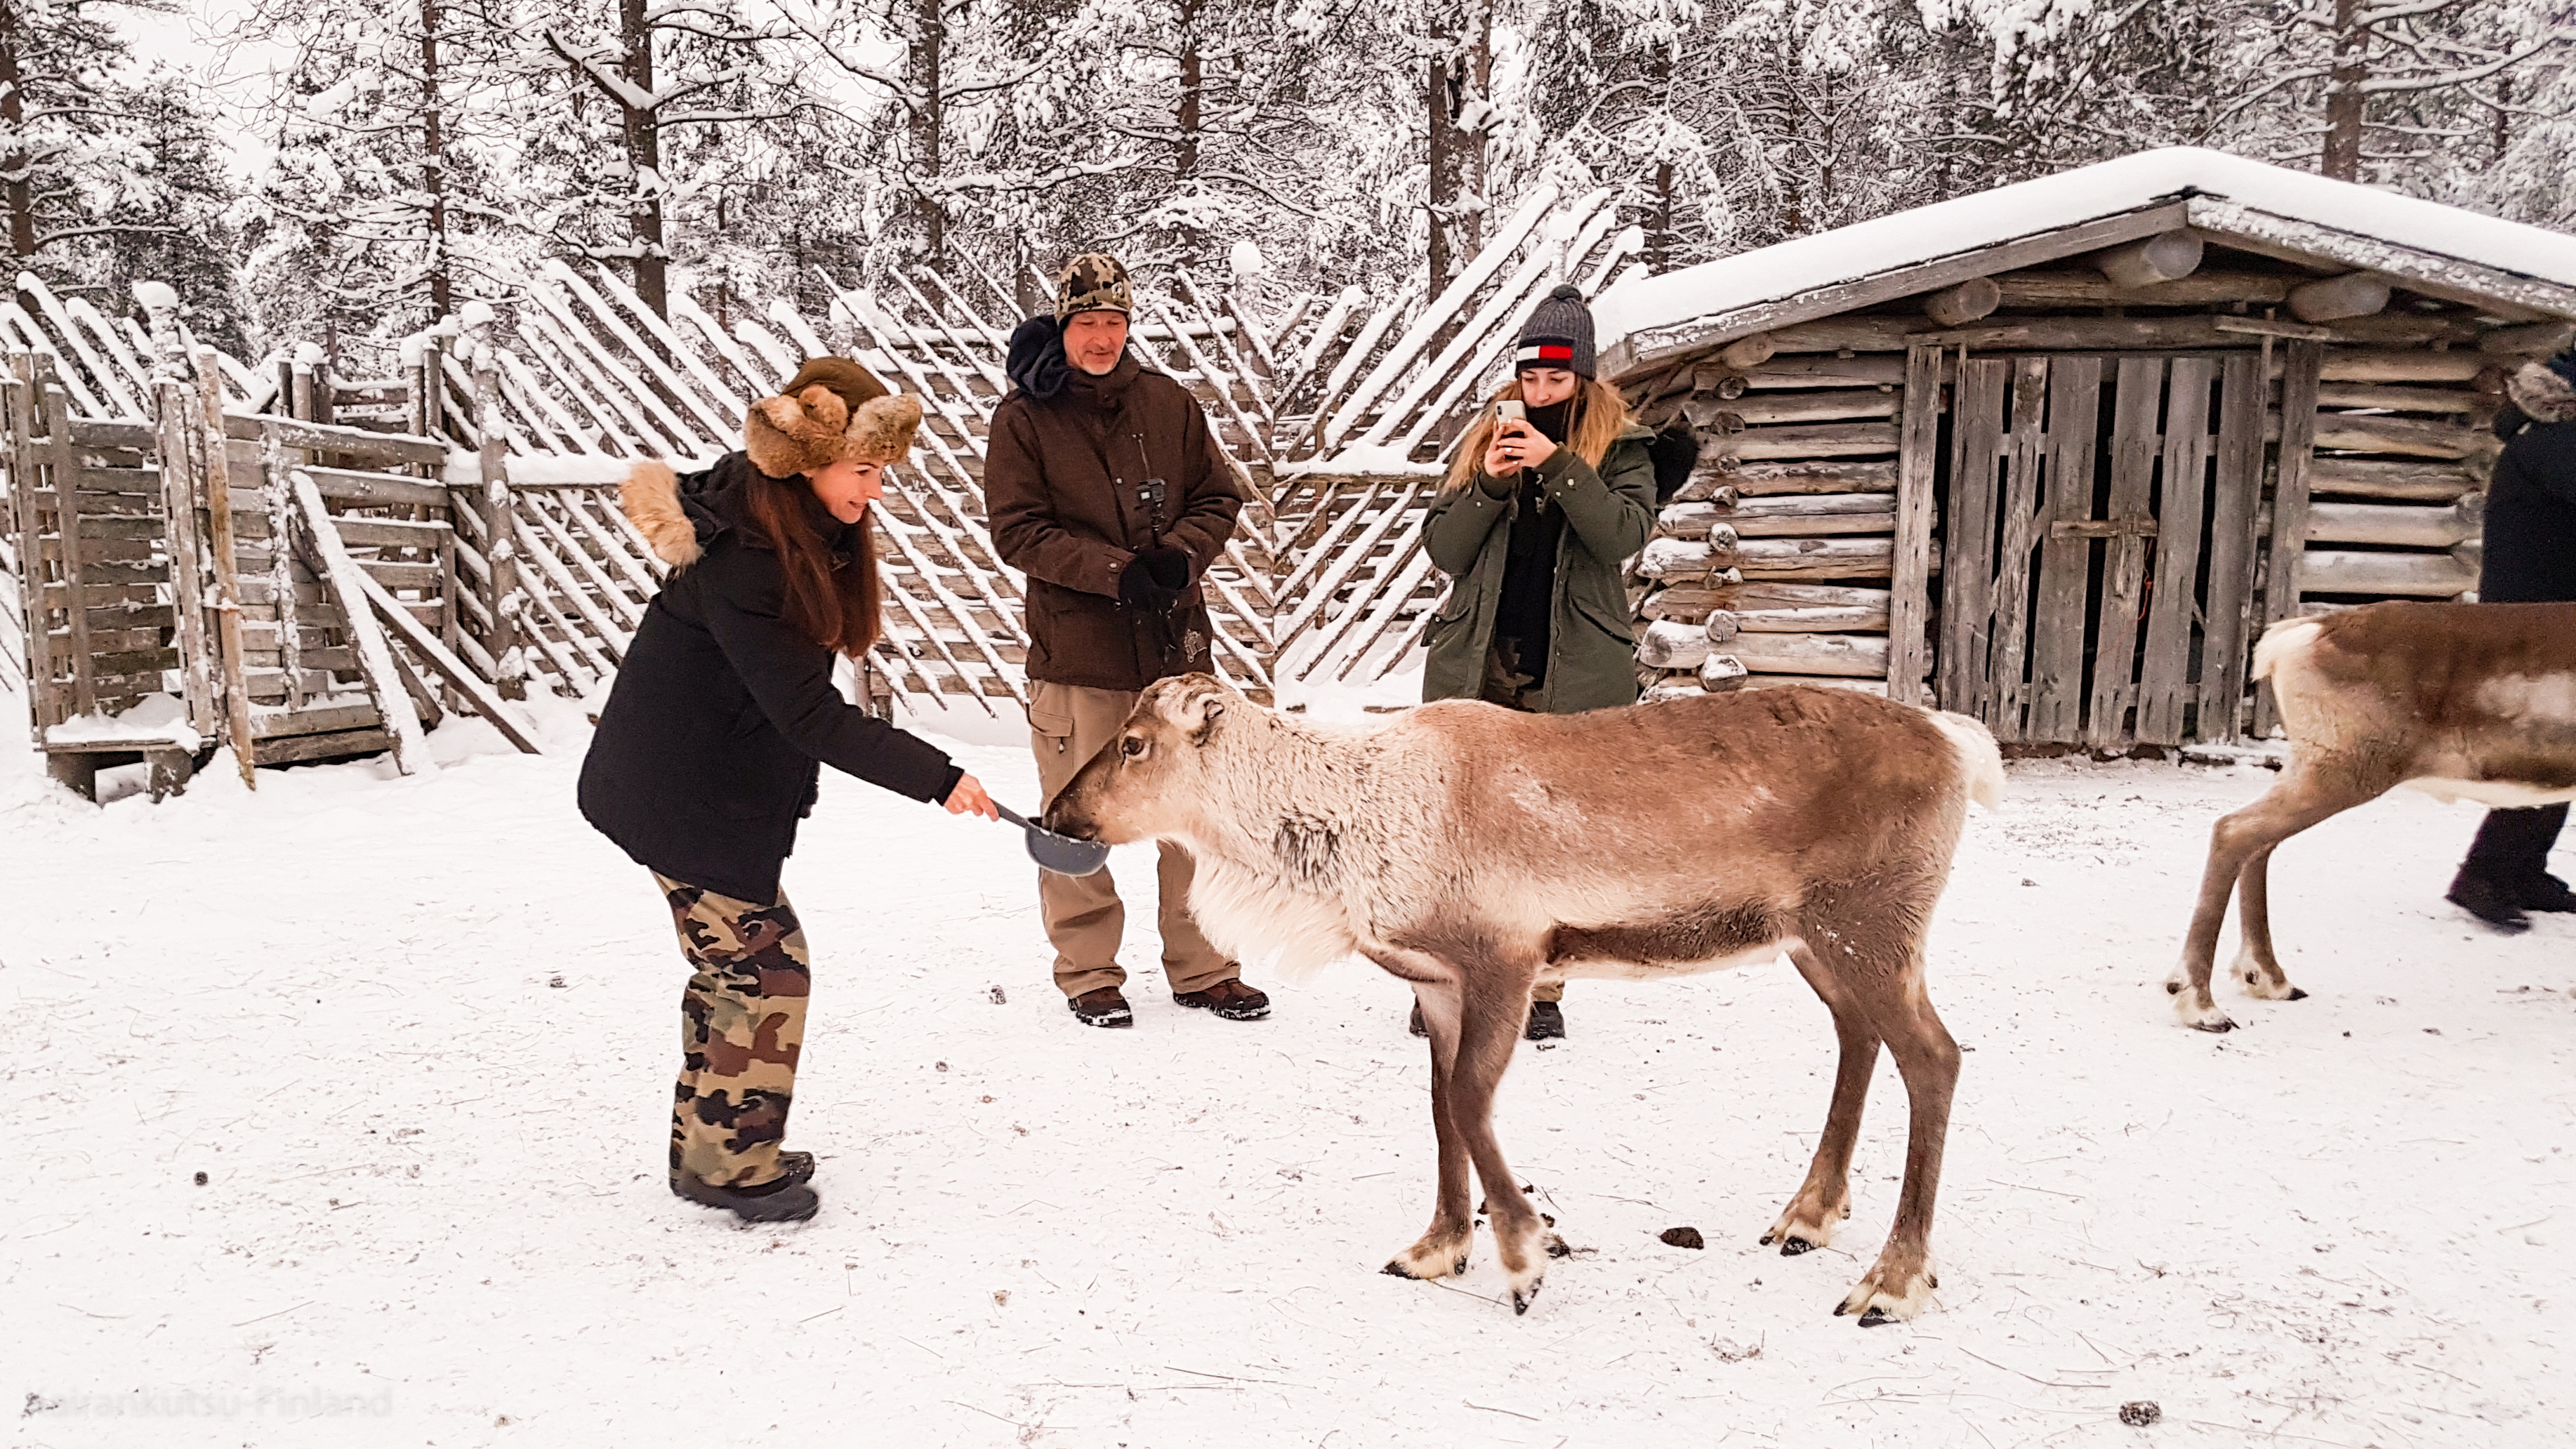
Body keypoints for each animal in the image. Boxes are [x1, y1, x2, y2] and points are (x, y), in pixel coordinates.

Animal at [1041, 674, 2004, 1324]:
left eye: (1134, 742)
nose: (1057, 815)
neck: (1348, 833)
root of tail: (1962, 744)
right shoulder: (1436, 983)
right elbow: (1440, 1109)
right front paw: (1437, 1248)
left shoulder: (1507, 956)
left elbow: (1470, 1102)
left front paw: (1525, 1254)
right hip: (1818, 938)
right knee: (1859, 1037)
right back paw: (1807, 1216)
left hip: (1869, 923)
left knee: (1937, 1057)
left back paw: (1891, 1281)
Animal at [2173, 600, 2576, 1031]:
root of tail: (2299, 635)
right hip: (2344, 768)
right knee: (2234, 829)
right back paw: (2202, 1006)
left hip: (2313, 765)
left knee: (2258, 841)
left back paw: (2271, 979)